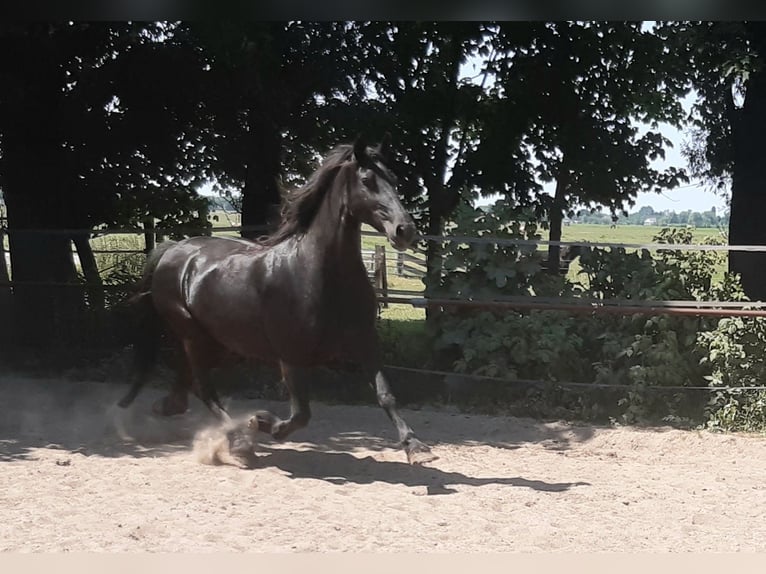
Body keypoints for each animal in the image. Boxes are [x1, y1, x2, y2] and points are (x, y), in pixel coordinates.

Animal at [116, 136, 436, 468]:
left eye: (395, 180)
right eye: (367, 180)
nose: (405, 230)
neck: (318, 275)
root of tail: (173, 249)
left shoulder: (365, 341)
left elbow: (386, 394)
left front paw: (416, 447)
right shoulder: (291, 356)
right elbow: (300, 414)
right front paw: (260, 422)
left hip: (221, 342)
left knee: (189, 381)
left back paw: (169, 407)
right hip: (195, 334)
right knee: (205, 388)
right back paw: (240, 443)